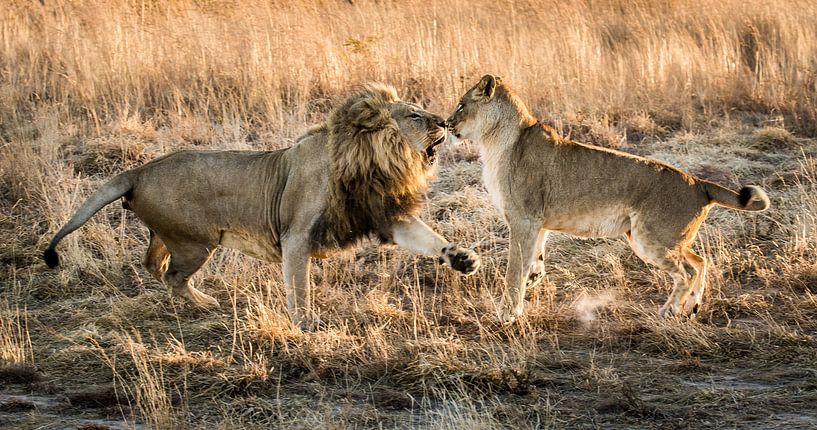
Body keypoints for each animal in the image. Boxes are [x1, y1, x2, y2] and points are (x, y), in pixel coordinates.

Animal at [44, 85, 478, 332]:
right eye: (415, 115)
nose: (444, 122)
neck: (373, 164)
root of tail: (139, 169)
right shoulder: (296, 236)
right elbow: (299, 286)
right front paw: (306, 324)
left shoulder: (384, 214)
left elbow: (428, 237)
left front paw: (461, 258)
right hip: (196, 242)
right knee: (171, 275)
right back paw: (205, 303)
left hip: (170, 236)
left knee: (153, 264)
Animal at [450, 74, 768, 322]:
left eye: (461, 105)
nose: (446, 123)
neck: (495, 141)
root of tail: (698, 183)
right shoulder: (536, 222)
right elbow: (533, 257)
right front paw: (534, 277)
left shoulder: (522, 219)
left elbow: (514, 269)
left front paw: (507, 313)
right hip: (666, 238)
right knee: (700, 261)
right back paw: (692, 308)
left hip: (650, 238)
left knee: (687, 271)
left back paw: (670, 311)